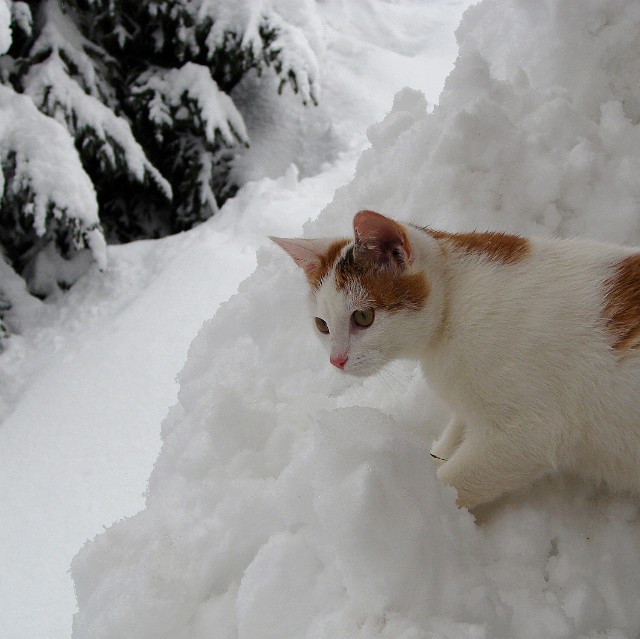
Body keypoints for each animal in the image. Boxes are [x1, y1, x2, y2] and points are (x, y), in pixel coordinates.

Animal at [272, 211, 640, 510]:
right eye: (322, 325)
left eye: (363, 317)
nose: (336, 360)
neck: (453, 301)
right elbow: (454, 432)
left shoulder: (529, 433)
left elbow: (455, 480)